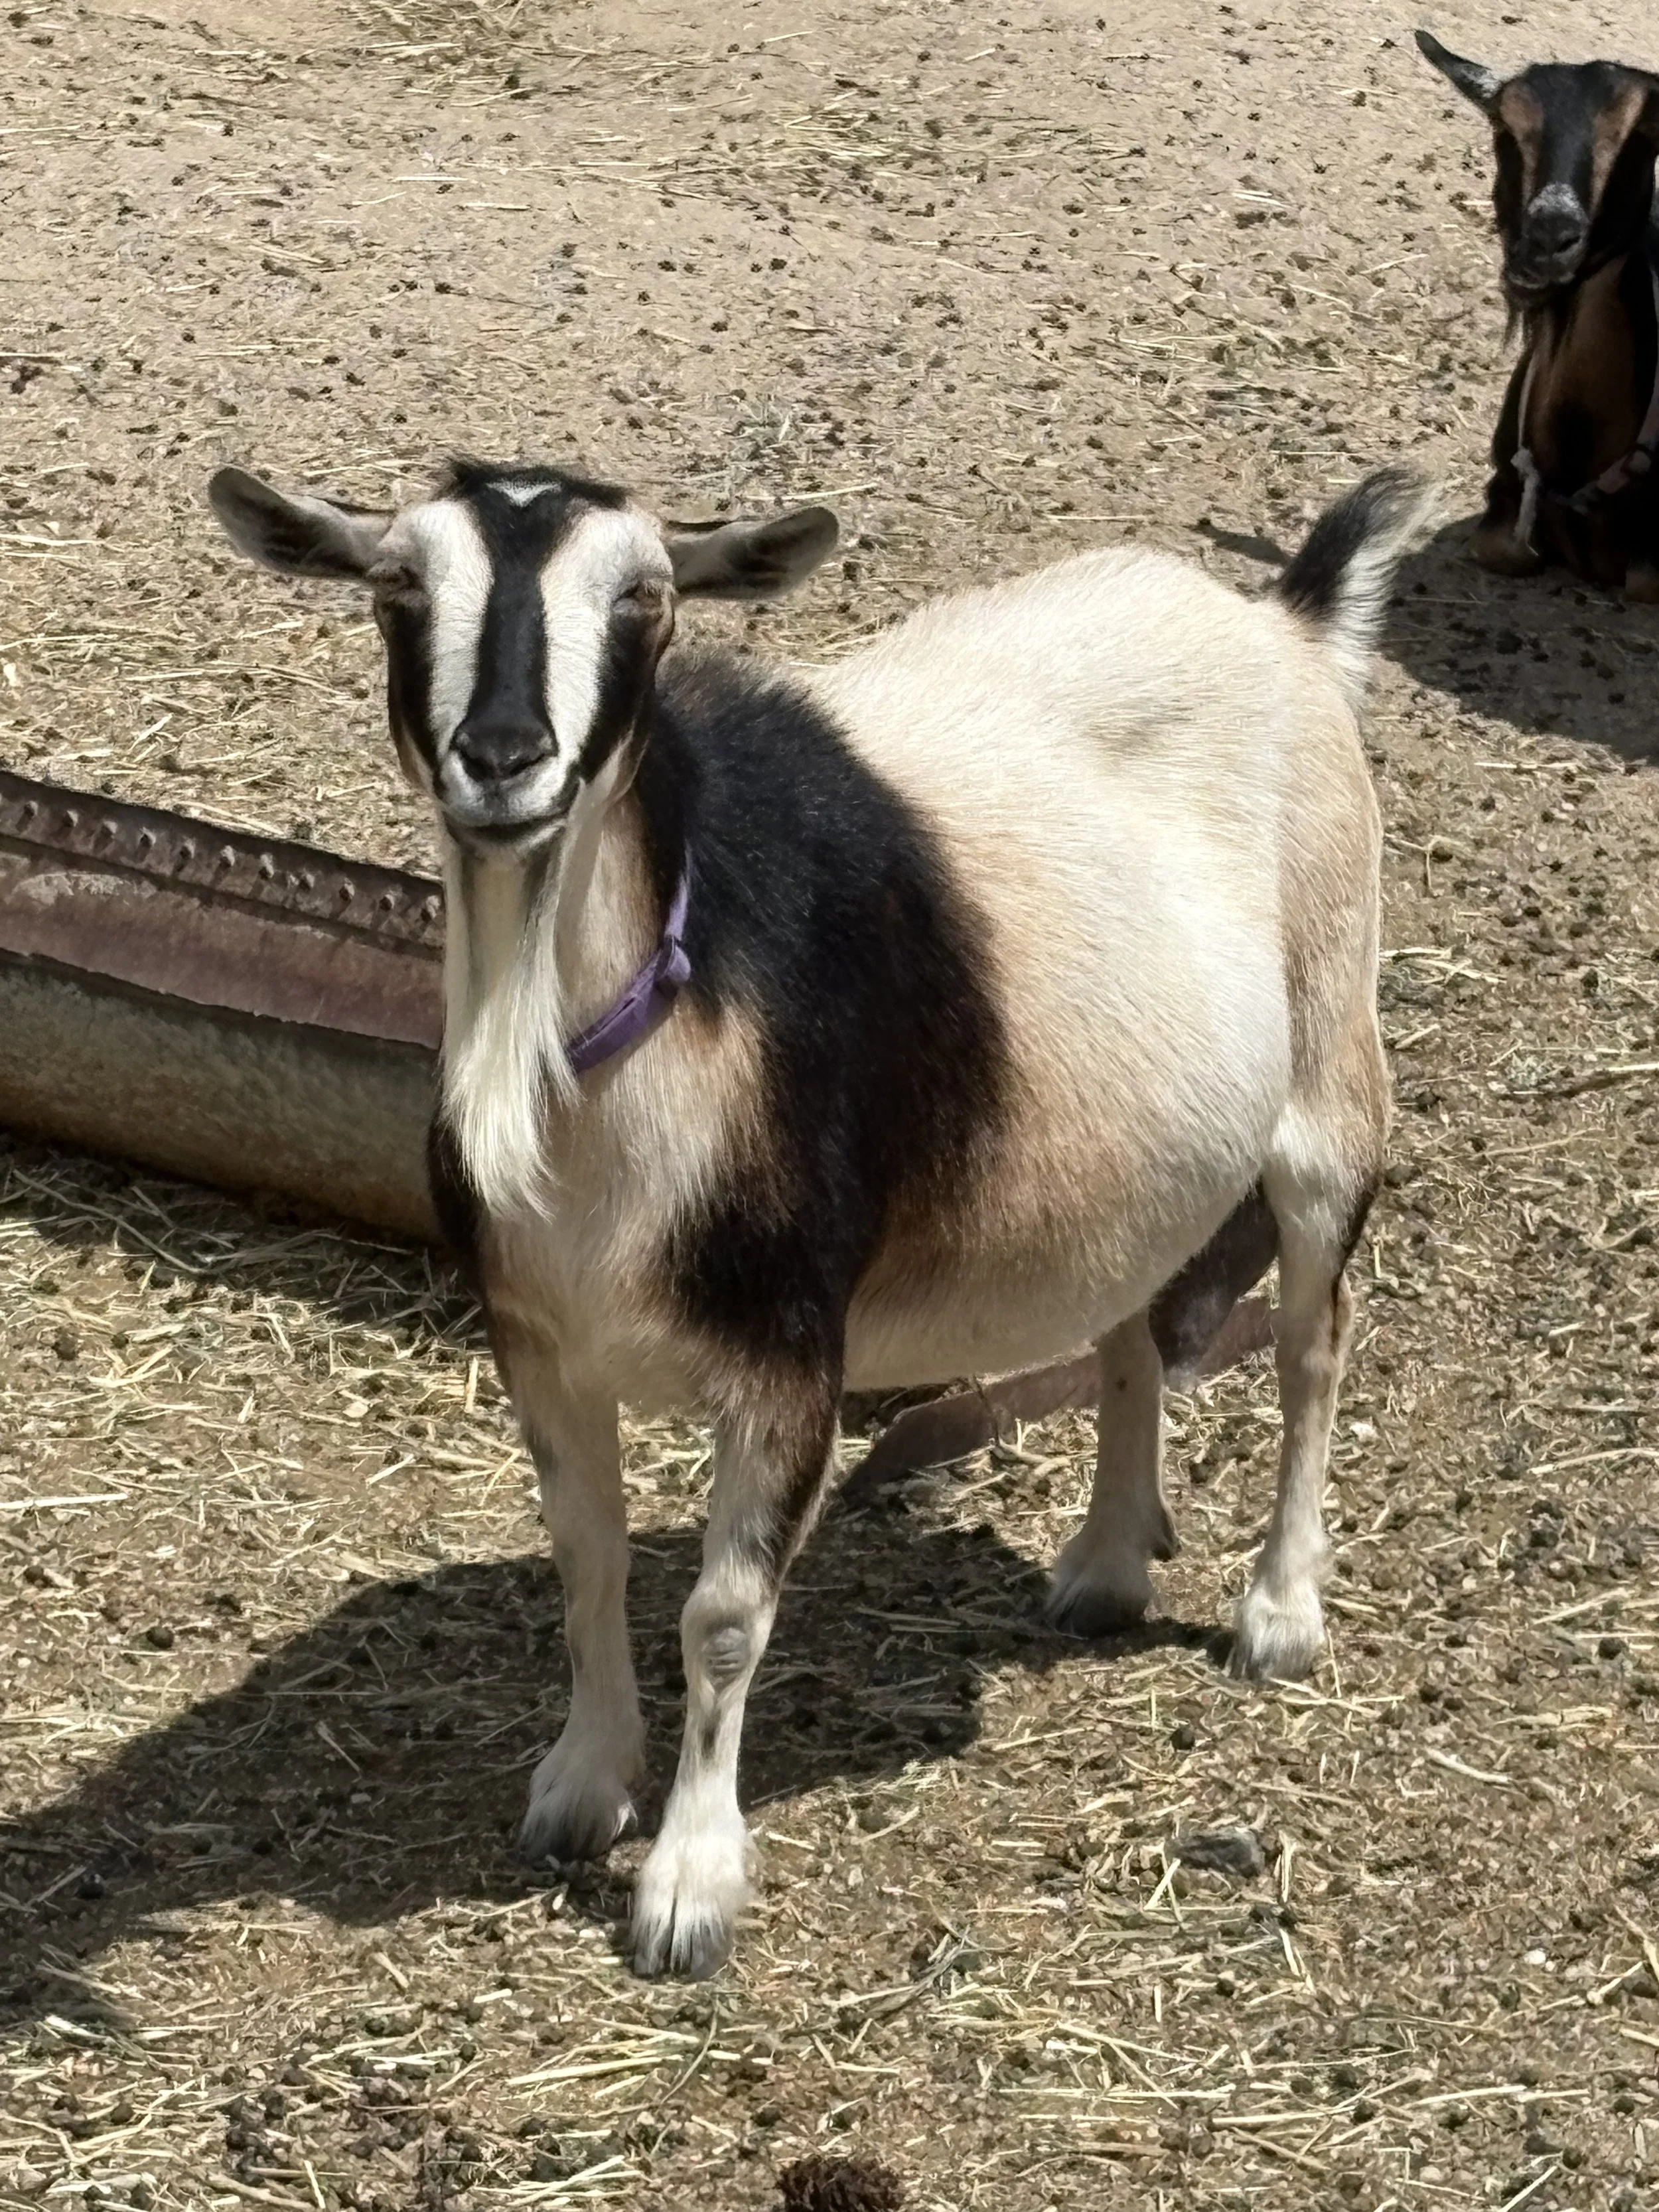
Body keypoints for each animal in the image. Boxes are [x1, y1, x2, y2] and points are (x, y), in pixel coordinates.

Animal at [209, 454, 1426, 1978]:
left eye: (645, 597)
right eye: (396, 586)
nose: (502, 754)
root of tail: (1285, 621)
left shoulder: (792, 1347)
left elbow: (724, 1617)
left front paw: (688, 1887)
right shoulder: (537, 1337)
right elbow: (586, 1560)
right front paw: (581, 1784)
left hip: (1329, 1063)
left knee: (1313, 1345)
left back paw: (1277, 1612)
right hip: (1122, 1152)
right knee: (1129, 1326)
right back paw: (1102, 1563)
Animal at [1419, 29, 1659, 597]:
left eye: (1644, 131)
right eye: (1504, 126)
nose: (1550, 235)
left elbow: (1641, 580)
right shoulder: (1504, 491)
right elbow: (1506, 548)